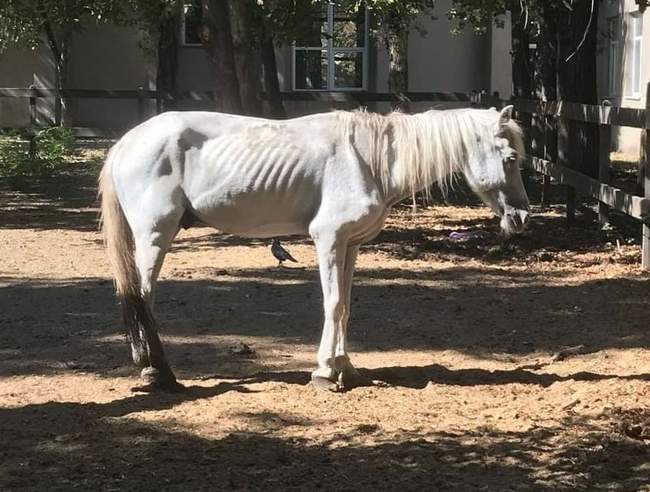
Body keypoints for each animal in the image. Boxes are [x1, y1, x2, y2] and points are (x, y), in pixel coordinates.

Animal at [100, 105, 528, 390]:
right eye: (510, 157)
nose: (522, 216)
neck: (369, 159)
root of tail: (126, 142)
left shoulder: (351, 245)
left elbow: (347, 307)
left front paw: (345, 368)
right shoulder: (328, 239)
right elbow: (333, 303)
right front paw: (324, 372)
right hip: (154, 234)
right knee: (143, 296)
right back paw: (157, 371)